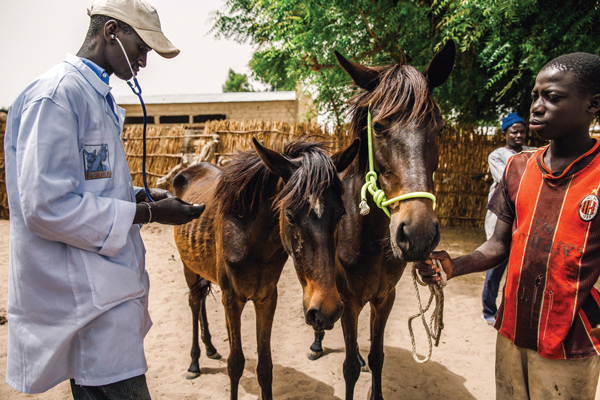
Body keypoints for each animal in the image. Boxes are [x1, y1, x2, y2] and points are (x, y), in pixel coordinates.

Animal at [173, 138, 360, 400]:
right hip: (188, 266)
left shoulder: (267, 297)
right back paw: (194, 364)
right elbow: (235, 364)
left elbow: (265, 367)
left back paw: (210, 348)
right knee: (194, 302)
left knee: (201, 301)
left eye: (341, 214)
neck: (251, 241)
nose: (327, 310)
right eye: (289, 215)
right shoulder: (232, 299)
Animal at [308, 41, 458, 400]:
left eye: (440, 128)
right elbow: (348, 367)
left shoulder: (384, 297)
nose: (417, 233)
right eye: (377, 127)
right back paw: (317, 342)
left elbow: (377, 357)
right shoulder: (347, 300)